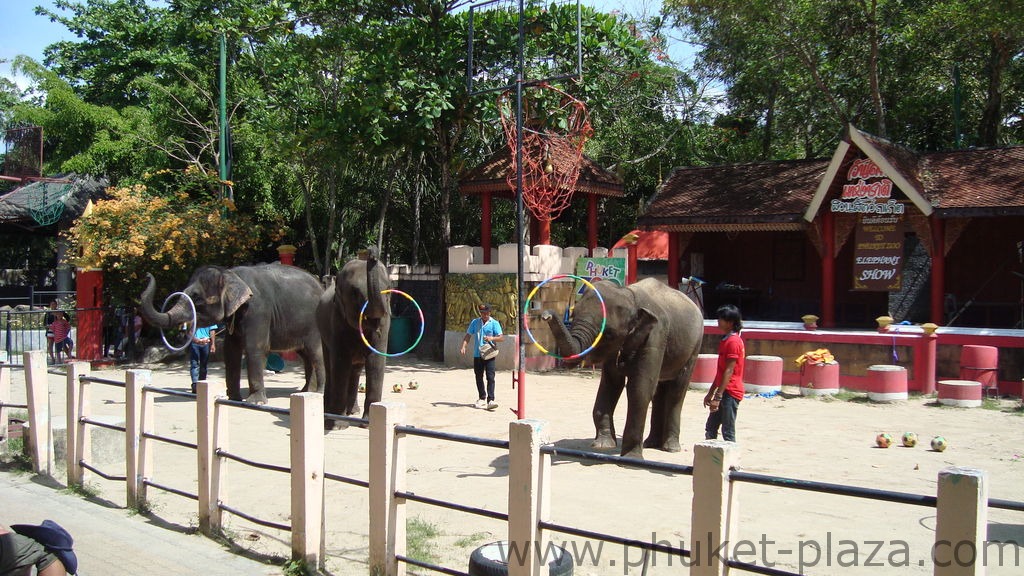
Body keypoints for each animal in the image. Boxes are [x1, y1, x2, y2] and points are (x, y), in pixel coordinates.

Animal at [140, 262, 323, 401]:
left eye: (196, 297)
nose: (147, 275)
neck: (231, 274)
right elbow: (231, 351)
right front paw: (234, 399)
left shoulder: (258, 311)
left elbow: (255, 348)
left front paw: (255, 402)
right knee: (306, 355)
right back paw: (305, 392)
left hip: (314, 326)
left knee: (315, 353)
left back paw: (315, 393)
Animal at [317, 247, 389, 426]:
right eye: (355, 293)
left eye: (389, 290)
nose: (371, 252)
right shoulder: (337, 319)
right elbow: (341, 362)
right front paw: (337, 426)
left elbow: (376, 361)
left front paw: (368, 423)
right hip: (322, 333)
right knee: (330, 366)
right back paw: (328, 412)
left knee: (355, 370)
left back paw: (352, 411)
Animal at [544, 276, 704, 455]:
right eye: (572, 315)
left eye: (608, 334)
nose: (546, 315)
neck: (629, 295)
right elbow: (611, 384)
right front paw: (603, 445)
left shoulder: (655, 336)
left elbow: (639, 388)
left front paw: (631, 454)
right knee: (659, 390)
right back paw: (651, 443)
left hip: (695, 346)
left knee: (677, 391)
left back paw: (671, 448)